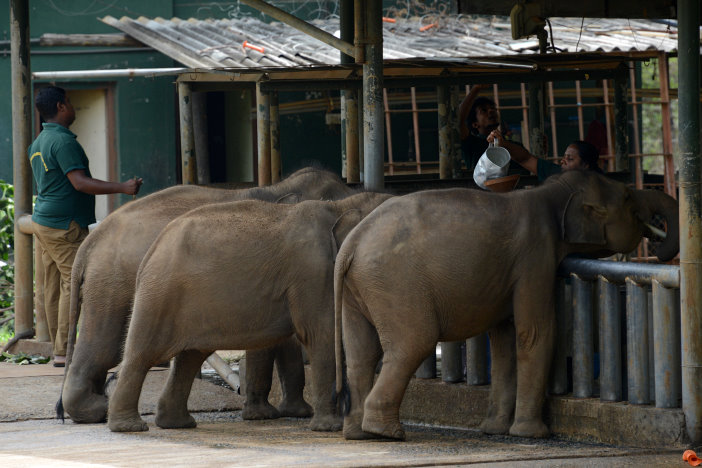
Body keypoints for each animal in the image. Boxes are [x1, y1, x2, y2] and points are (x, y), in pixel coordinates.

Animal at [59, 168, 364, 424]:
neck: (277, 189)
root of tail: (91, 241)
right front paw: (277, 414)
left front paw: (293, 412)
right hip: (112, 285)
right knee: (105, 346)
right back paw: (98, 409)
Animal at [108, 192, 396, 434]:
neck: (338, 204)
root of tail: (152, 250)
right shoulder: (313, 272)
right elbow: (322, 334)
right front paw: (330, 429)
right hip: (160, 295)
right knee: (142, 354)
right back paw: (130, 428)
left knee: (190, 357)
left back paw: (177, 424)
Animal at [336, 170, 680, 440]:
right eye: (627, 197)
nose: (661, 248)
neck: (551, 192)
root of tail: (351, 244)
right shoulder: (536, 255)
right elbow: (536, 332)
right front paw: (532, 434)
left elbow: (503, 341)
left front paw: (495, 429)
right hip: (395, 284)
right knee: (412, 344)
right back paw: (387, 432)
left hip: (361, 289)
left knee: (361, 354)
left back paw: (357, 433)